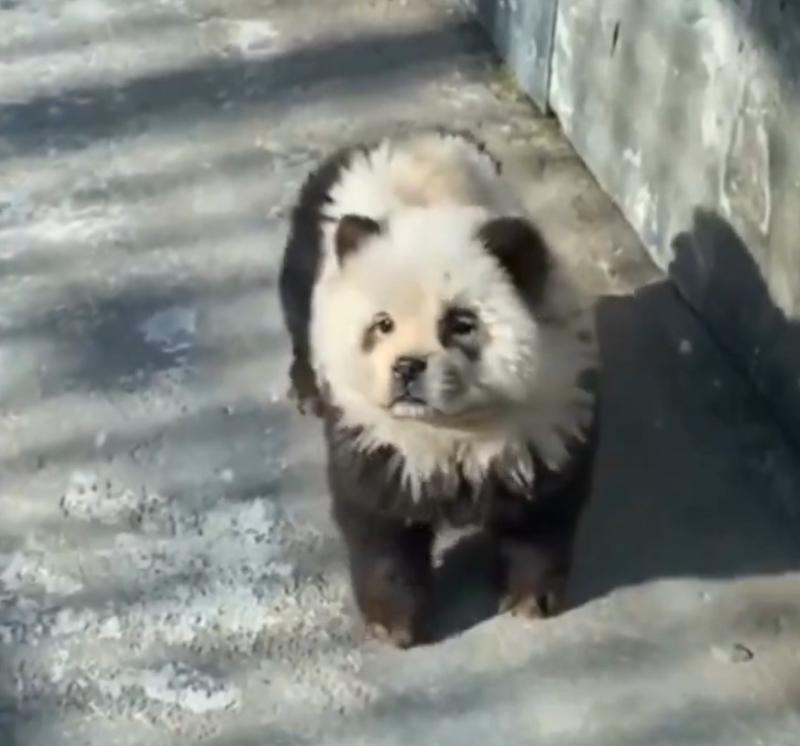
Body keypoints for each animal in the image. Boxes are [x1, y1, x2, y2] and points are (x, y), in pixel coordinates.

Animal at [278, 129, 599, 647]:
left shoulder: (548, 415)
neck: (454, 430)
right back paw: (306, 389)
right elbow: (378, 525)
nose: (407, 368)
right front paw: (393, 623)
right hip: (309, 252)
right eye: (382, 324)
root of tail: (404, 137)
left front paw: (529, 599)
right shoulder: (375, 434)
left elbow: (542, 516)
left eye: (460, 324)